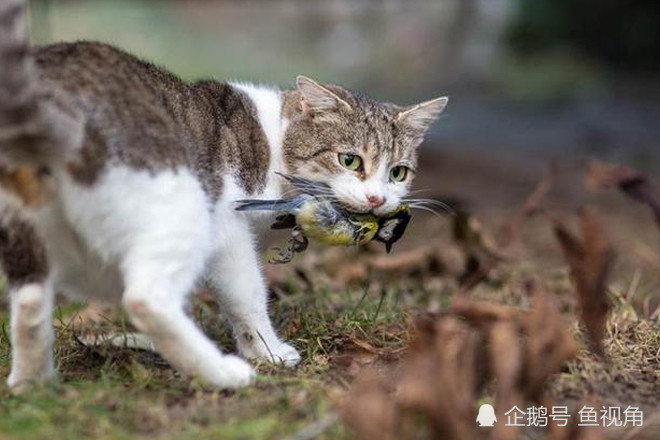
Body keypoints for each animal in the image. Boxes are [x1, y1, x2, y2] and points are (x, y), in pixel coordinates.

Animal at [0, 0, 448, 392]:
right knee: (146, 298)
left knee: (29, 303)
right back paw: (222, 374)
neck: (273, 140)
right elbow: (245, 295)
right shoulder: (227, 228)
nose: (377, 201)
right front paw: (267, 353)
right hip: (182, 209)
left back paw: (34, 385)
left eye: (398, 172)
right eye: (350, 160)